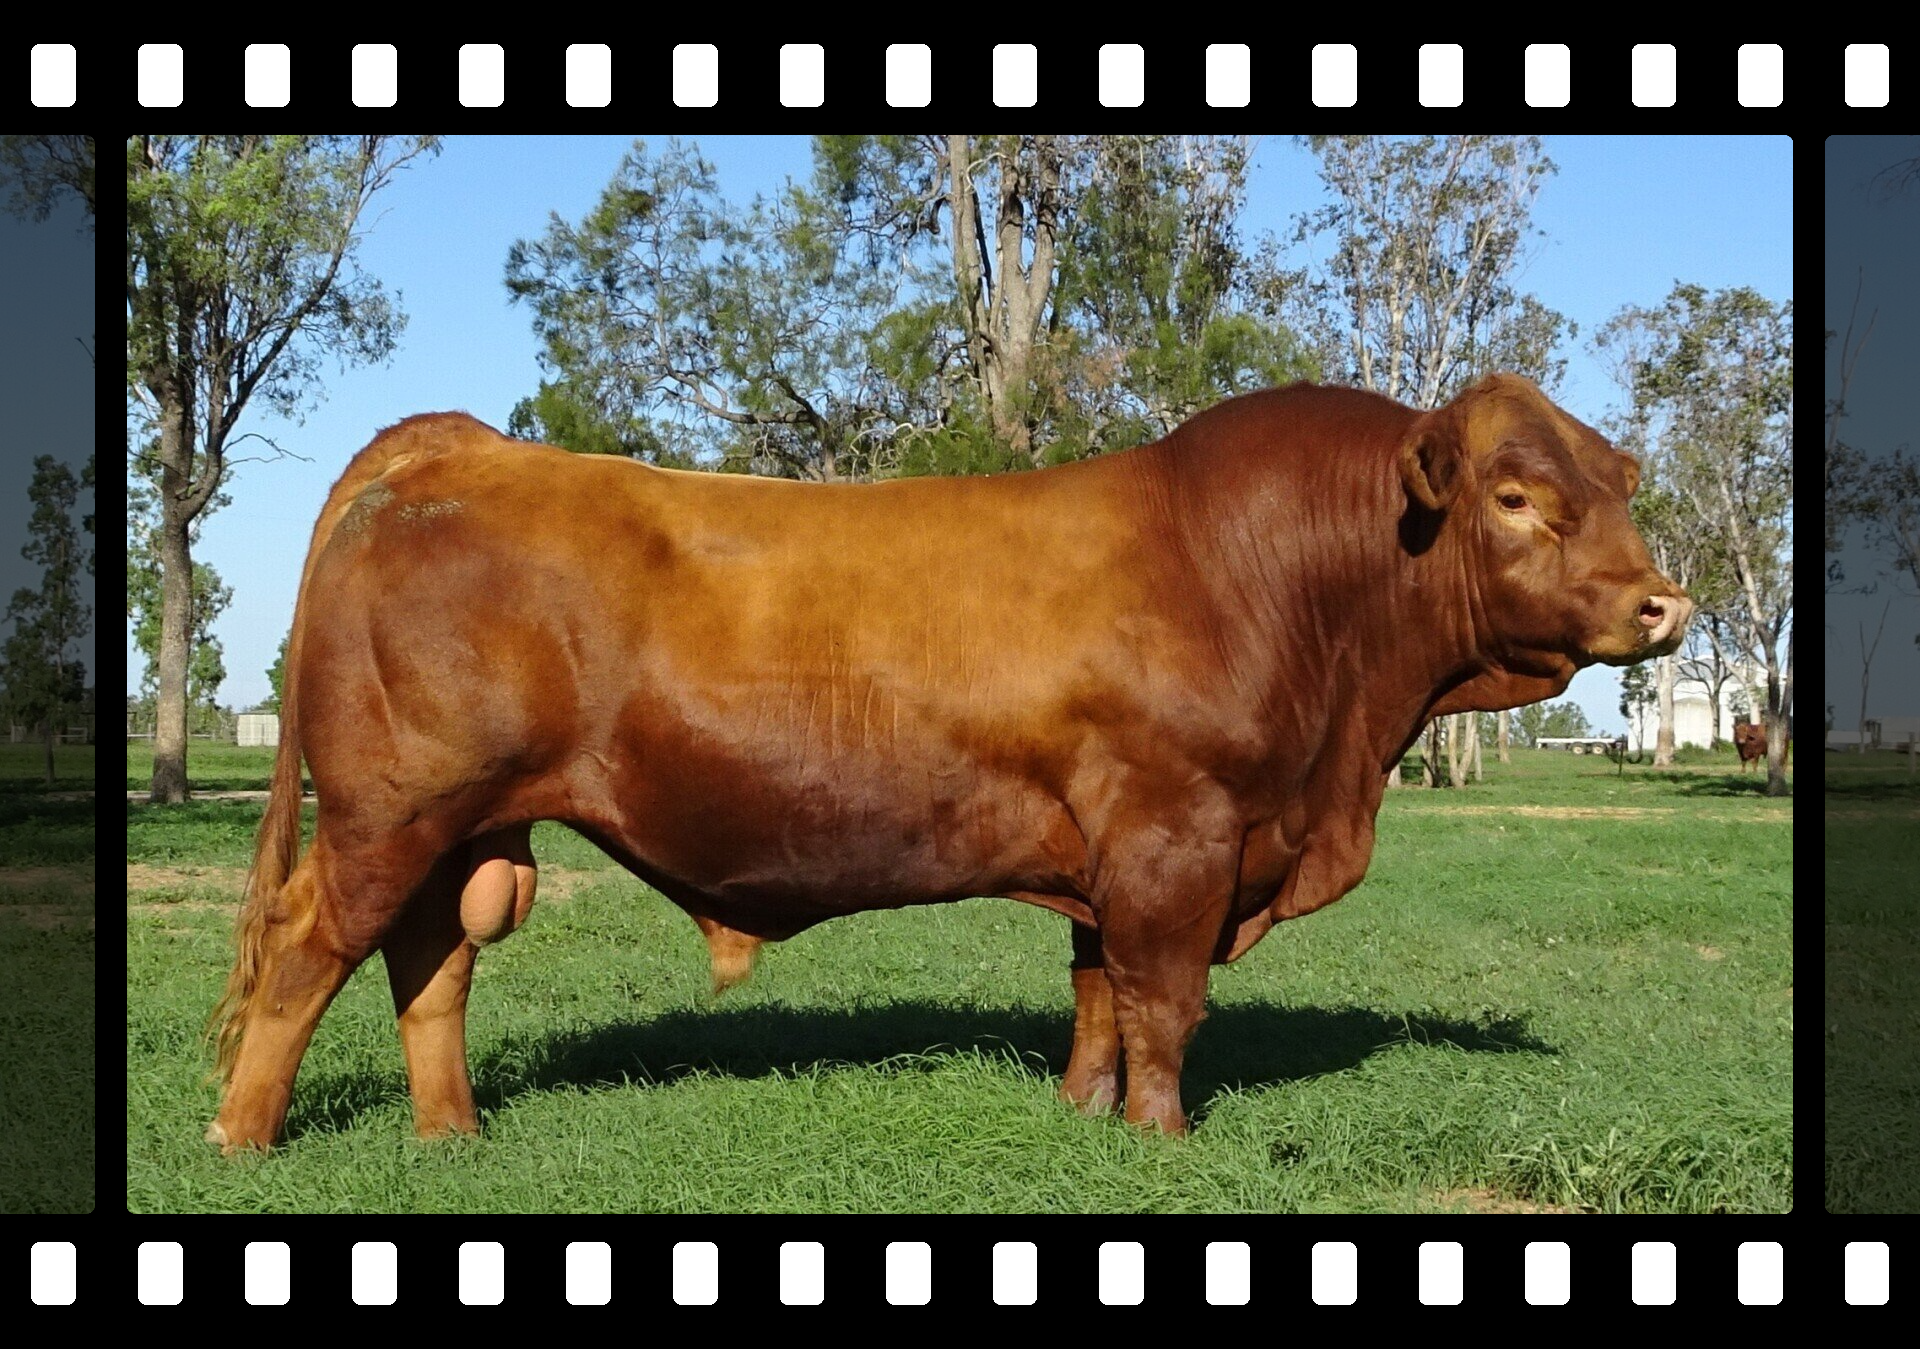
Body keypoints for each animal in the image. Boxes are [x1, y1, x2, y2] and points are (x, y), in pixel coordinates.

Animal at [206, 373, 1691, 1151]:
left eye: (1615, 485)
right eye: (1515, 496)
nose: (1662, 604)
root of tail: (451, 445)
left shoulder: (1110, 852)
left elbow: (1098, 996)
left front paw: (1086, 1117)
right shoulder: (1178, 837)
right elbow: (1165, 1003)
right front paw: (1164, 1139)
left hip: (458, 825)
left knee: (429, 964)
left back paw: (450, 1134)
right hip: (390, 811)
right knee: (305, 950)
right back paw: (244, 1134)